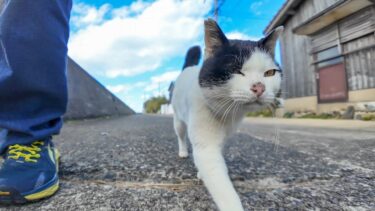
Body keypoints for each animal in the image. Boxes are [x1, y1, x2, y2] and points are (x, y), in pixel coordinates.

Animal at [172, 18, 284, 211]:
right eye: (236, 70)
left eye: (269, 73)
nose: (260, 87)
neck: (229, 114)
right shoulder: (206, 145)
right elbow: (221, 185)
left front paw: (201, 173)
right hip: (178, 118)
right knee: (181, 135)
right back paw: (183, 151)